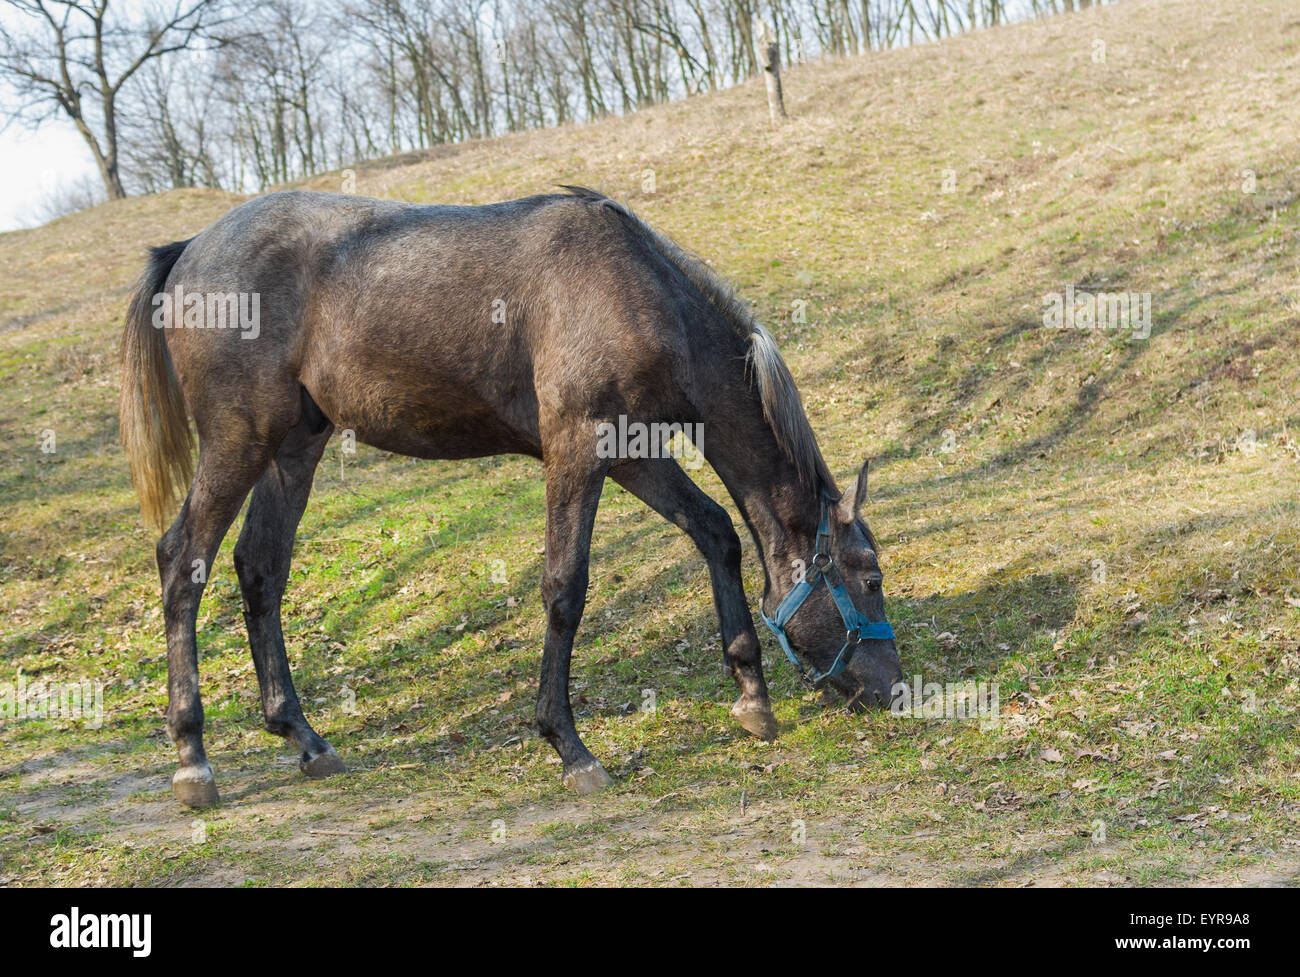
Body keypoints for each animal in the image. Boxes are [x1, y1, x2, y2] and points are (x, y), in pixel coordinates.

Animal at [116, 184, 899, 810]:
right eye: (870, 578)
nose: (893, 688)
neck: (638, 292)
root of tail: (189, 251)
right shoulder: (578, 452)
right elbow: (564, 589)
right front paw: (569, 745)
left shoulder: (632, 456)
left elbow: (717, 533)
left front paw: (751, 696)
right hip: (238, 442)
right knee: (181, 561)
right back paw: (193, 759)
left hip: (292, 449)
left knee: (260, 569)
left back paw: (304, 736)